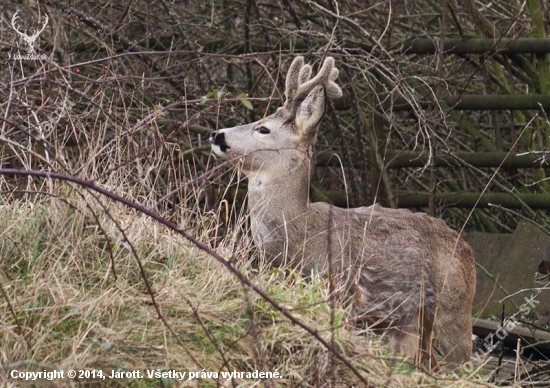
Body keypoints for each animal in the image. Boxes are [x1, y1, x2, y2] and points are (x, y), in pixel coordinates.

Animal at [209, 56, 476, 368]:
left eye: (263, 129)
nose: (216, 133)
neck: (300, 236)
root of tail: (467, 249)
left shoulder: (341, 290)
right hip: (415, 321)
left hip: (454, 306)